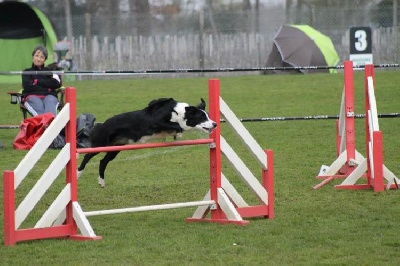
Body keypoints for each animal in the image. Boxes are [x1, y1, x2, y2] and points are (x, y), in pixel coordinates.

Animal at [77, 97, 217, 187]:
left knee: (103, 161)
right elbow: (178, 125)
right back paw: (78, 173)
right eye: (202, 117)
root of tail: (101, 125)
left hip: (116, 148)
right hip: (101, 144)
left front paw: (176, 135)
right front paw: (178, 131)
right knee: (87, 156)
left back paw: (101, 182)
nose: (215, 124)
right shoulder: (156, 121)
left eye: (208, 116)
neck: (179, 113)